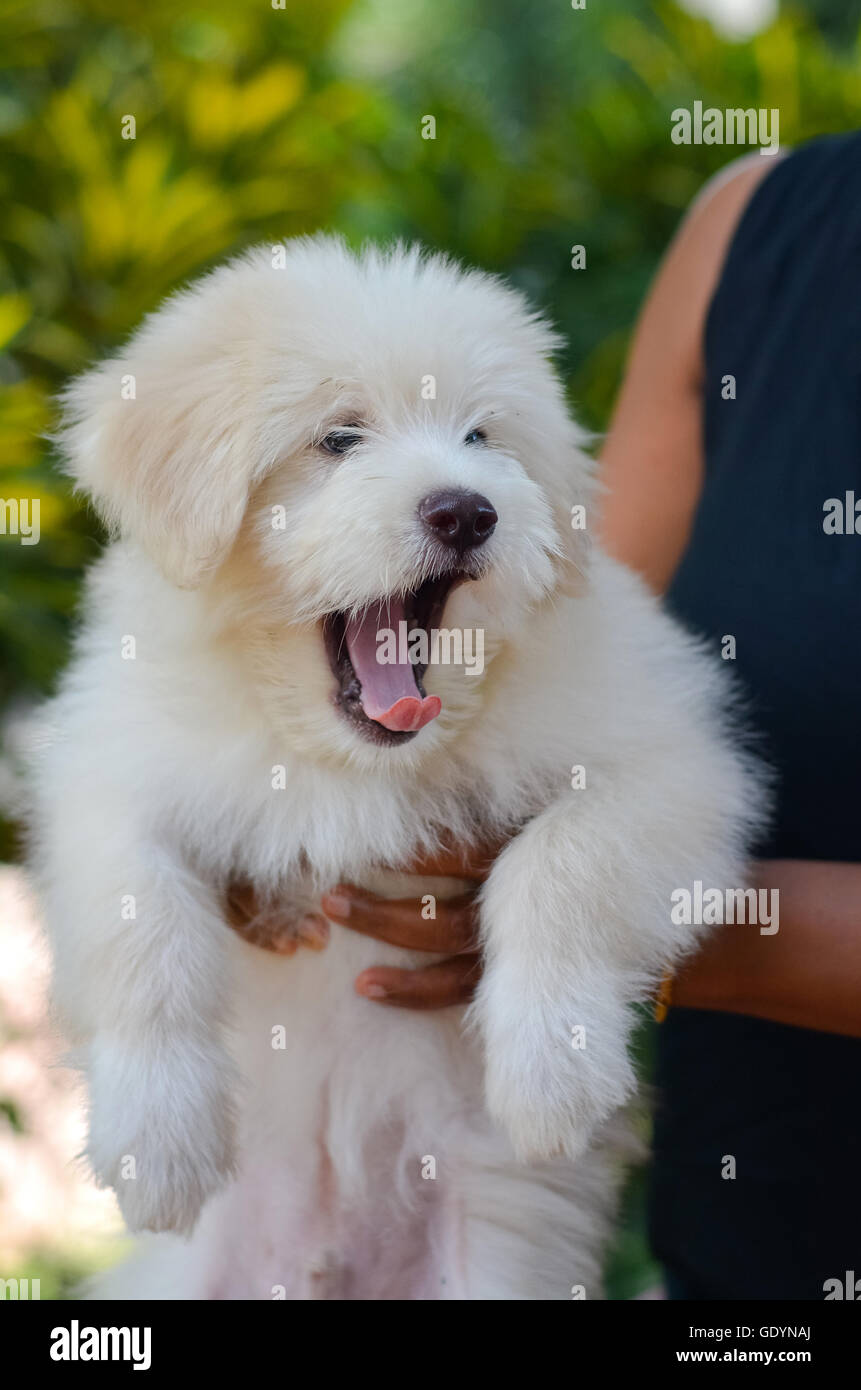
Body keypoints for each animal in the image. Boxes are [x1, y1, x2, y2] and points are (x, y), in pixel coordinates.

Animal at [31, 239, 762, 1301]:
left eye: (480, 435)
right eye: (339, 438)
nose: (466, 511)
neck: (347, 762)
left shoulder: (671, 760)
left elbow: (559, 866)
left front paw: (550, 1075)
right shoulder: (103, 772)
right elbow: (142, 929)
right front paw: (155, 1145)